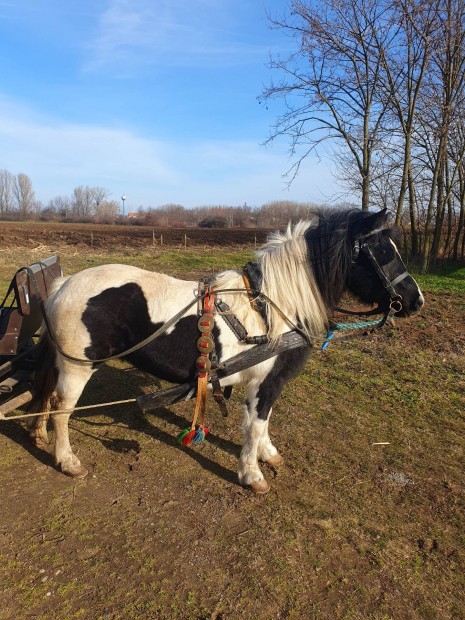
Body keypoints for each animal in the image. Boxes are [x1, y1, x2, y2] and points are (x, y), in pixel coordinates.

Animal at [27, 209, 422, 494]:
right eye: (383, 252)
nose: (416, 301)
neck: (274, 305)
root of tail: (64, 284)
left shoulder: (267, 382)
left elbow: (264, 421)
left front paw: (268, 455)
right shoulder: (264, 382)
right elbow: (256, 424)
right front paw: (252, 473)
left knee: (46, 397)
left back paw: (39, 434)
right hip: (79, 367)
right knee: (62, 410)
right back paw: (67, 459)